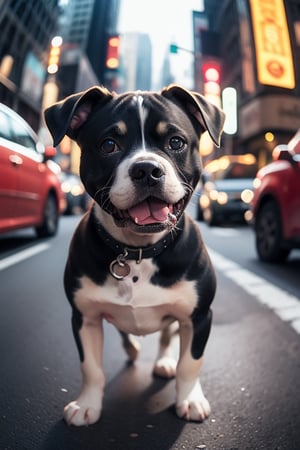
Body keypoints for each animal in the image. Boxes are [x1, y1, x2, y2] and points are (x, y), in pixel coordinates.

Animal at [44, 84, 225, 426]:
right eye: (109, 145)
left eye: (176, 142)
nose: (147, 169)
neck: (137, 251)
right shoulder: (84, 317)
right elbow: (91, 367)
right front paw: (87, 405)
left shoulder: (198, 316)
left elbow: (190, 363)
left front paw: (189, 399)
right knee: (126, 334)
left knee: (167, 336)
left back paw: (164, 362)